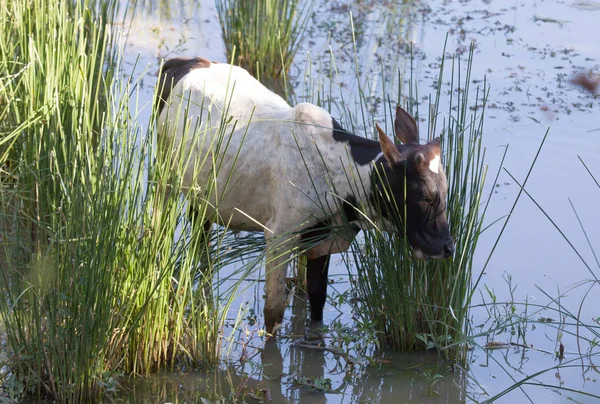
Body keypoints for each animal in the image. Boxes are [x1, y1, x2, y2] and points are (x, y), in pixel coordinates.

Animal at [156, 57, 454, 334]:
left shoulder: (321, 241)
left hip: (201, 198)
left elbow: (317, 299)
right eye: (425, 196)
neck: (340, 170)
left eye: (444, 191)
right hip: (164, 179)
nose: (447, 247)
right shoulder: (280, 236)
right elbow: (274, 311)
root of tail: (187, 63)